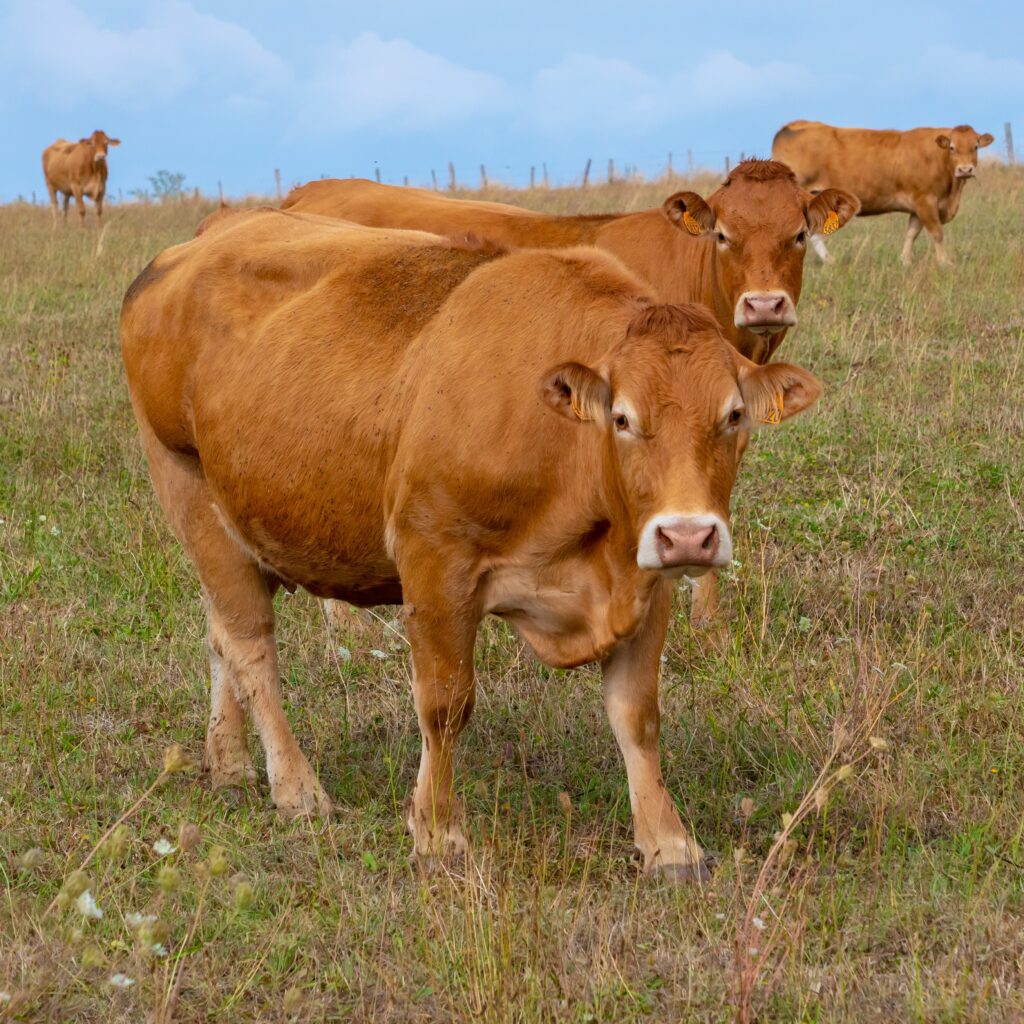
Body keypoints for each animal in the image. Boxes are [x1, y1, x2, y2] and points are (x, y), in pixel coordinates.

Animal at [121, 208, 822, 882]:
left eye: (733, 415)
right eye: (623, 418)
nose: (688, 534)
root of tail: (196, 244)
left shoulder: (645, 581)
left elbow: (638, 716)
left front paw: (670, 844)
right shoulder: (435, 563)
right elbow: (445, 705)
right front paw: (437, 833)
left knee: (221, 635)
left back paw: (229, 761)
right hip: (190, 495)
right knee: (251, 649)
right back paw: (296, 788)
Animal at [772, 121, 994, 265]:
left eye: (975, 147)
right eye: (952, 147)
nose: (965, 170)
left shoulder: (918, 206)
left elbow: (912, 233)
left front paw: (906, 261)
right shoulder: (926, 200)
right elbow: (937, 233)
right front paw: (945, 262)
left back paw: (830, 261)